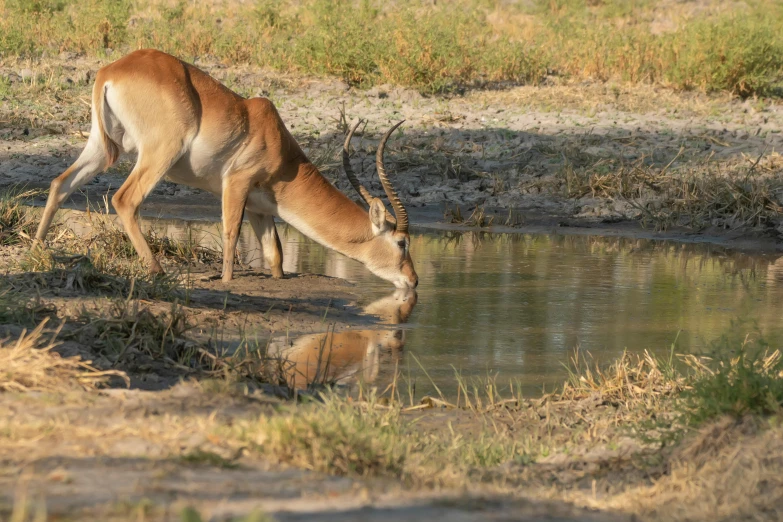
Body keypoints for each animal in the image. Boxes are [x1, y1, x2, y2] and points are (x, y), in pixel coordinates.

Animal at [33, 47, 420, 288]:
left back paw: (38, 248)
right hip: (159, 153)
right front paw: (228, 282)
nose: (414, 281)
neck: (278, 145)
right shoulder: (236, 182)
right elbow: (231, 234)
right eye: (402, 242)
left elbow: (275, 255)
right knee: (124, 200)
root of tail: (111, 71)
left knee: (60, 183)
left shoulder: (261, 207)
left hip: (104, 148)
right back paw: (157, 270)